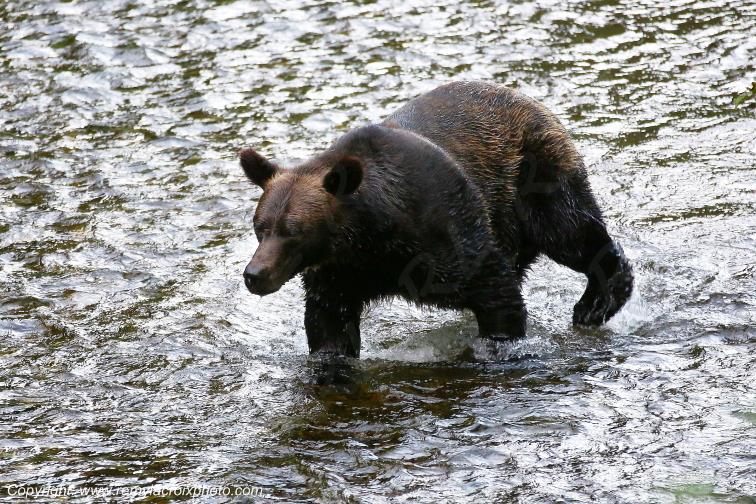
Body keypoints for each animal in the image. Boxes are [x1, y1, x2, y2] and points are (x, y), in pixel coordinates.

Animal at [239, 81, 633, 358]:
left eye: (293, 231)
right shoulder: (340, 273)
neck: (371, 235)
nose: (254, 274)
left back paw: (595, 303)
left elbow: (495, 290)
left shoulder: (442, 232)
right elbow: (329, 326)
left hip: (531, 177)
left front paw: (500, 344)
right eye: (261, 228)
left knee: (570, 231)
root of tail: (526, 97)